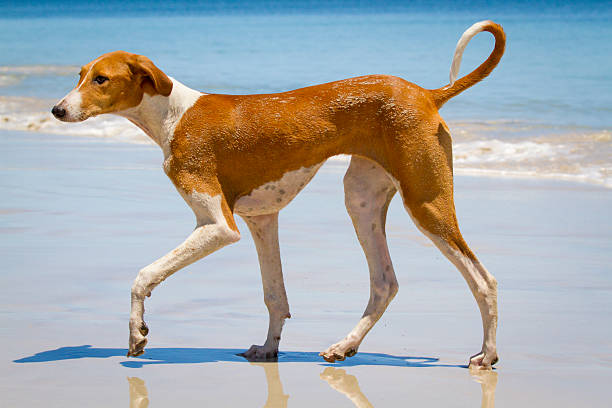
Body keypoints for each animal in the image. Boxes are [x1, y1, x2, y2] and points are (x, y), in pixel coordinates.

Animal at [51, 20, 502, 368]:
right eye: (79, 74)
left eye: (101, 79)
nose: (57, 110)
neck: (174, 115)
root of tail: (426, 93)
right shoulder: (262, 220)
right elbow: (274, 295)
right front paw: (269, 348)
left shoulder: (219, 226)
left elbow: (143, 275)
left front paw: (137, 333)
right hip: (361, 199)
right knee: (385, 283)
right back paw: (345, 345)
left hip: (426, 202)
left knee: (484, 280)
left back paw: (487, 354)